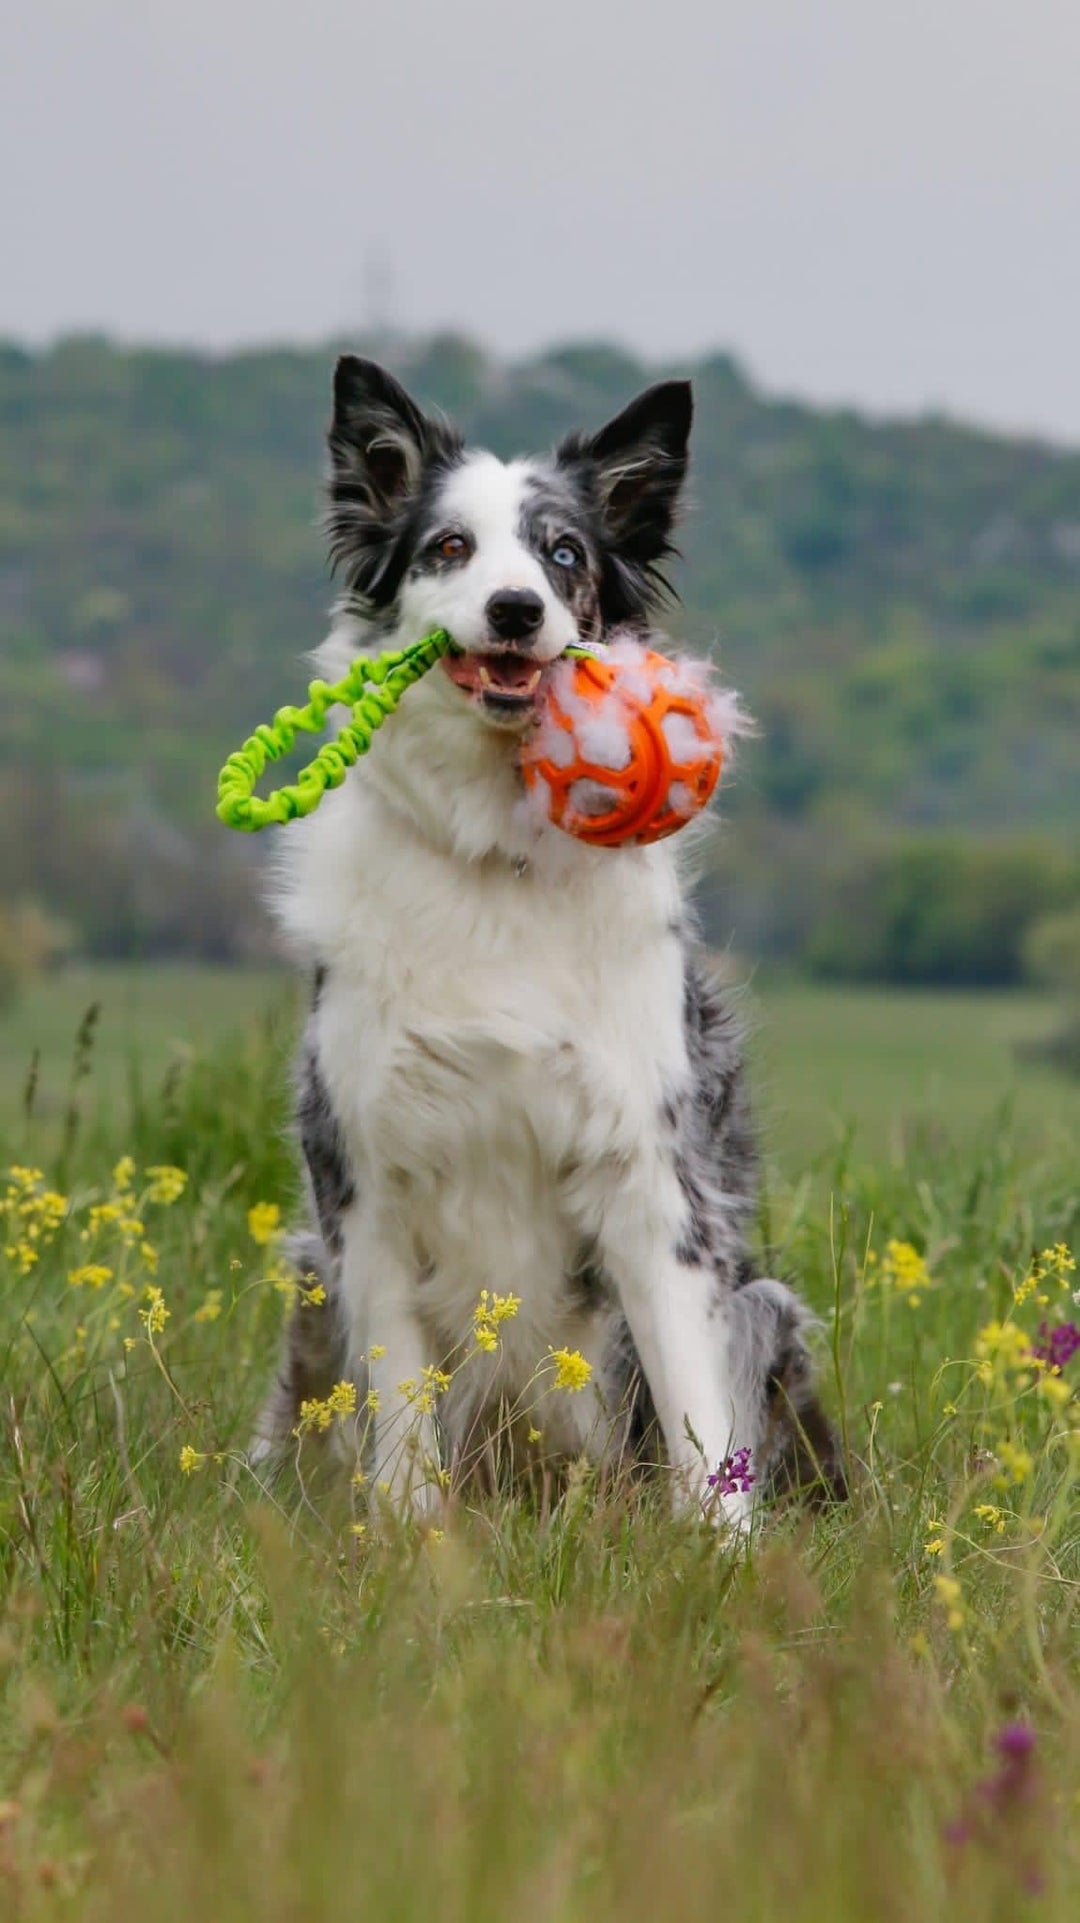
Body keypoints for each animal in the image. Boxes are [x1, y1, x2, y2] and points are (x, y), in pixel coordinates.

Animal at [251, 357, 841, 1530]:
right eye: (449, 548)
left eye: (563, 553)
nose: (517, 608)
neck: (495, 857)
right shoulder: (362, 1182)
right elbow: (399, 1413)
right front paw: (414, 1541)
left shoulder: (653, 1170)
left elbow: (696, 1406)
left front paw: (721, 1552)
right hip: (306, 1270)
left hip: (762, 1298)